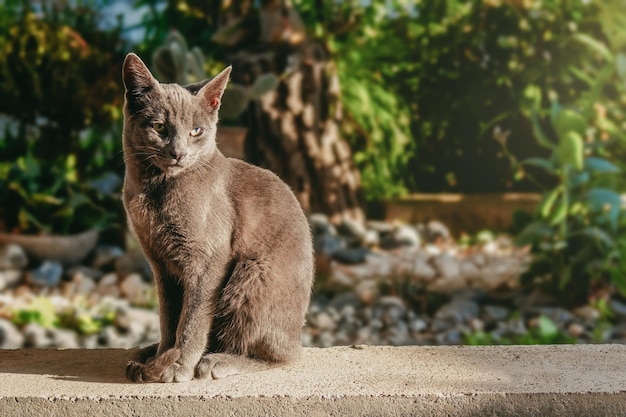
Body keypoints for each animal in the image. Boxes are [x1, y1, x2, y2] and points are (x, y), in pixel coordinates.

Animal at [120, 53, 312, 382]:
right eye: (159, 126)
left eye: (196, 131)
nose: (178, 152)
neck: (155, 190)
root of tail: (296, 335)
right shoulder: (160, 263)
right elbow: (169, 317)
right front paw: (162, 356)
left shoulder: (207, 259)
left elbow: (192, 318)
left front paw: (178, 365)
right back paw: (146, 354)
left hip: (251, 276)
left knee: (278, 354)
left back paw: (217, 361)